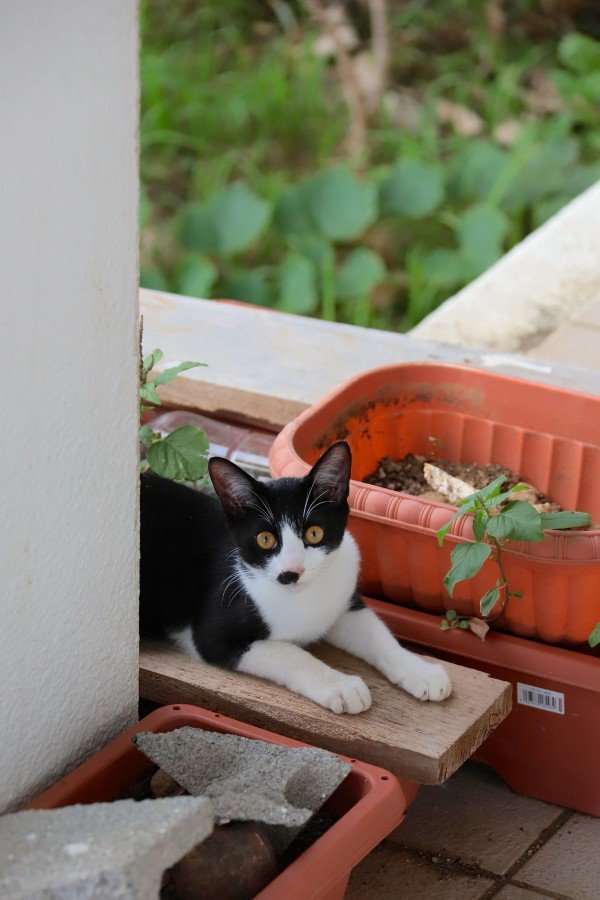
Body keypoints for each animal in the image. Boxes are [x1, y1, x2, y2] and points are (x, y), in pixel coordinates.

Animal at [139, 440, 450, 712]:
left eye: (314, 533)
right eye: (265, 539)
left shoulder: (342, 601)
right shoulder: (211, 636)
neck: (302, 599)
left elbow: (377, 633)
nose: (292, 572)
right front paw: (341, 685)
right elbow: (290, 654)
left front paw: (421, 671)